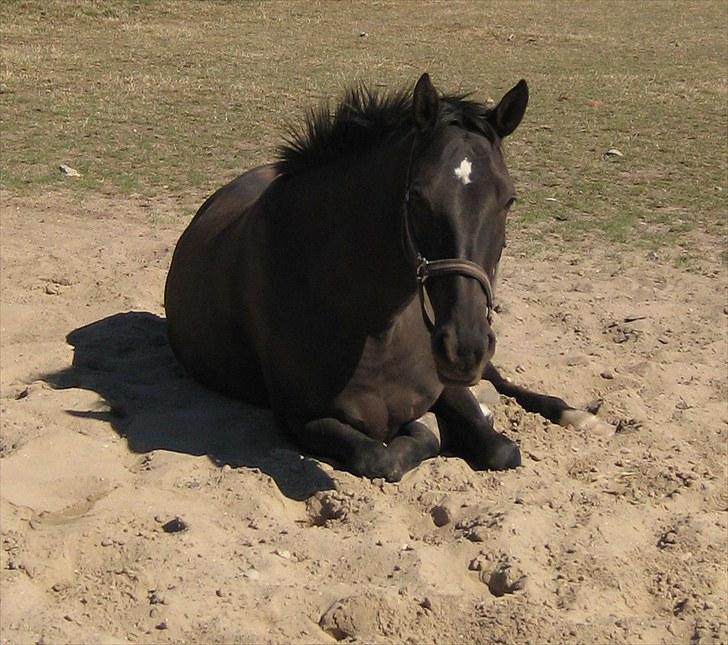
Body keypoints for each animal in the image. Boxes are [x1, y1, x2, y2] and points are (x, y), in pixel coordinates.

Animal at [164, 73, 608, 480]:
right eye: (418, 197)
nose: (463, 348)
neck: (370, 324)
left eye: (509, 199)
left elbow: (501, 450)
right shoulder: (299, 417)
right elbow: (380, 457)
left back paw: (576, 415)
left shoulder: (446, 385)